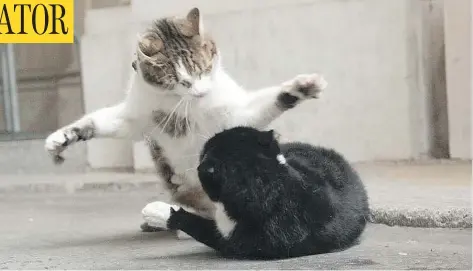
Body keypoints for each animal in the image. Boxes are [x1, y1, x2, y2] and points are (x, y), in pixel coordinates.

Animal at [45, 6, 328, 232]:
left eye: (204, 69)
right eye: (180, 80)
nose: (201, 92)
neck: (179, 102)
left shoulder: (233, 113)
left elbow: (260, 106)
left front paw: (301, 88)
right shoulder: (135, 115)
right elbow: (95, 122)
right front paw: (61, 138)